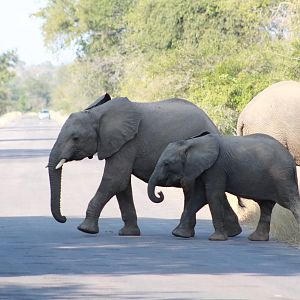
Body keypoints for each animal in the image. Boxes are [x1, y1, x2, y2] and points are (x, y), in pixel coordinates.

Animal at [48, 94, 241, 237]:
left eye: (75, 138)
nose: (64, 218)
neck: (98, 114)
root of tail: (214, 126)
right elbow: (122, 185)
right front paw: (129, 234)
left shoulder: (128, 142)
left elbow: (115, 180)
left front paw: (85, 229)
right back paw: (232, 232)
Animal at [148, 134, 300, 241]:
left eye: (167, 163)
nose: (160, 193)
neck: (193, 142)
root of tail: (291, 160)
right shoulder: (203, 168)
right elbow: (199, 197)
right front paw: (179, 234)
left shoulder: (217, 167)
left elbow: (212, 195)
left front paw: (216, 239)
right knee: (266, 206)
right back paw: (256, 239)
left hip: (282, 177)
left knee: (290, 202)